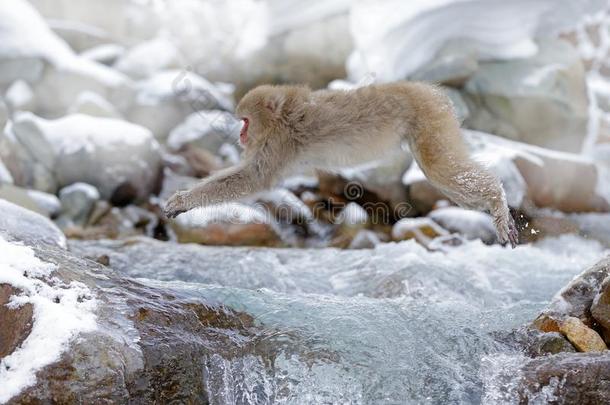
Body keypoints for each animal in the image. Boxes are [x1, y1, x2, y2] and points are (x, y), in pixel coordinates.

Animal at [165, 81, 516, 246]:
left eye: (245, 121)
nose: (240, 134)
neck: (282, 117)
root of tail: (429, 91)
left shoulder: (278, 144)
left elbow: (255, 179)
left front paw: (183, 201)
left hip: (430, 119)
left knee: (441, 169)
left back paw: (496, 199)